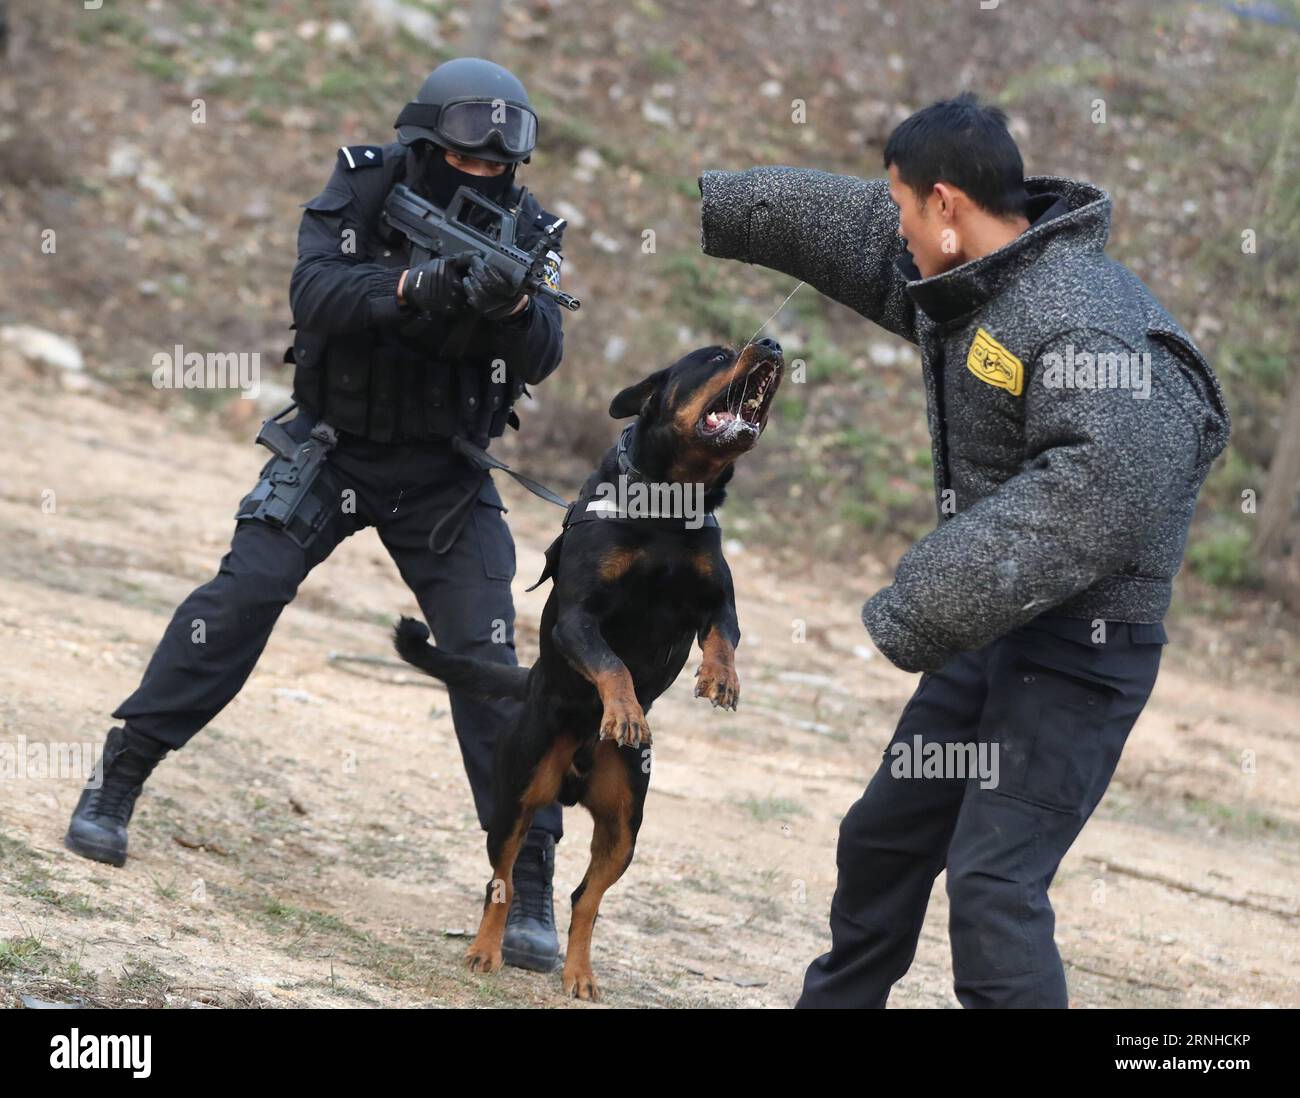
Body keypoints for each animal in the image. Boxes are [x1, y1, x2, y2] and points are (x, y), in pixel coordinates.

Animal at [392, 337, 780, 997]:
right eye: (715, 355)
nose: (774, 343)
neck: (670, 505)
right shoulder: (578, 616)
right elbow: (611, 663)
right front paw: (624, 713)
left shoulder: (718, 602)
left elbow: (724, 639)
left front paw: (719, 678)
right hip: (517, 798)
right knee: (502, 878)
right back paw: (485, 951)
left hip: (624, 825)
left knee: (585, 899)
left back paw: (579, 975)